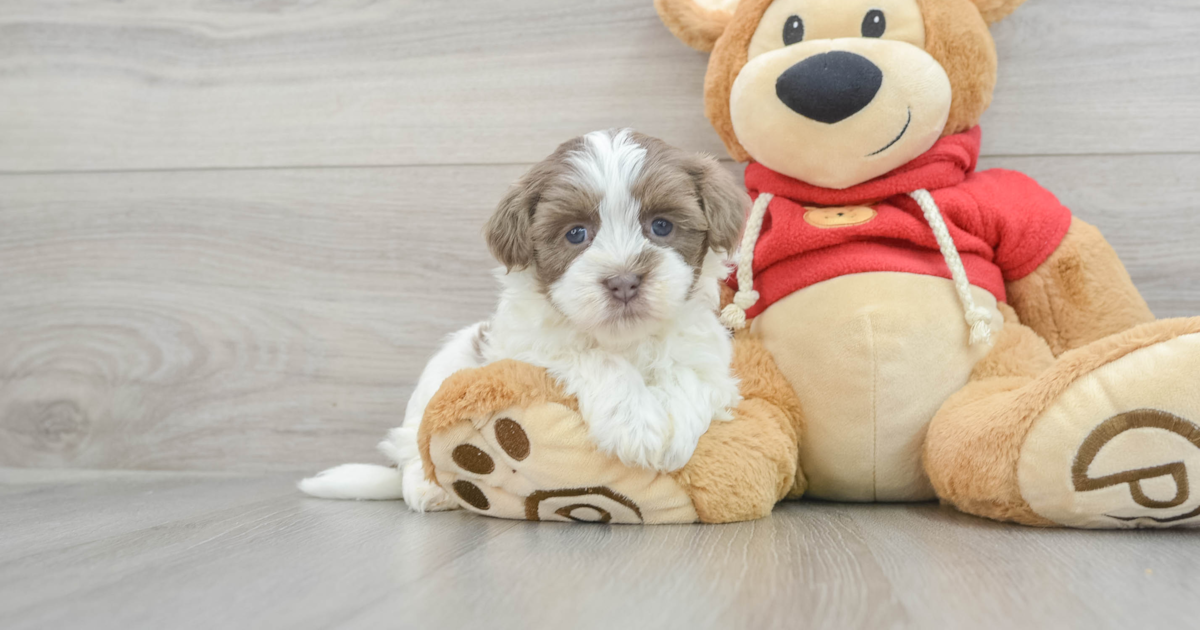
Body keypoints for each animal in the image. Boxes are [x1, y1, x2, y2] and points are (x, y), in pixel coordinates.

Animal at [302, 129, 748, 511]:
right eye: (576, 233)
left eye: (661, 225)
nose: (623, 281)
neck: (624, 339)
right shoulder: (526, 350)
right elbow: (593, 357)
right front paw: (637, 423)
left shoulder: (708, 355)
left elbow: (691, 375)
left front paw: (674, 430)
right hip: (441, 375)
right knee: (413, 446)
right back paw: (429, 489)